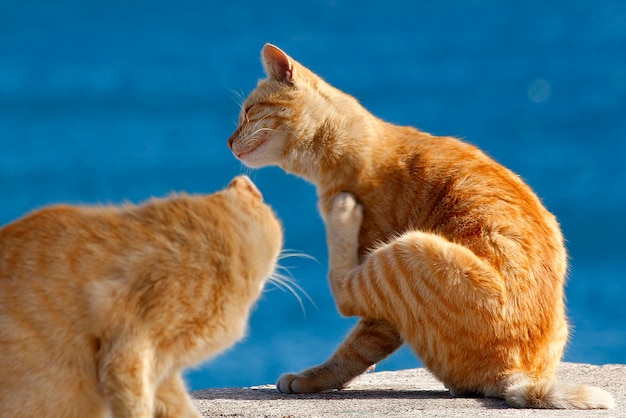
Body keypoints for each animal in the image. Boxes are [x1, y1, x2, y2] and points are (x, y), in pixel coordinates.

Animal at [225, 45, 616, 408]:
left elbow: (353, 344)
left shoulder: (380, 302)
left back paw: (342, 214)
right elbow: (361, 350)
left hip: (407, 247)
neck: (351, 152)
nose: (228, 142)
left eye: (247, 112)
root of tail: (516, 373)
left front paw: (312, 379)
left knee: (344, 292)